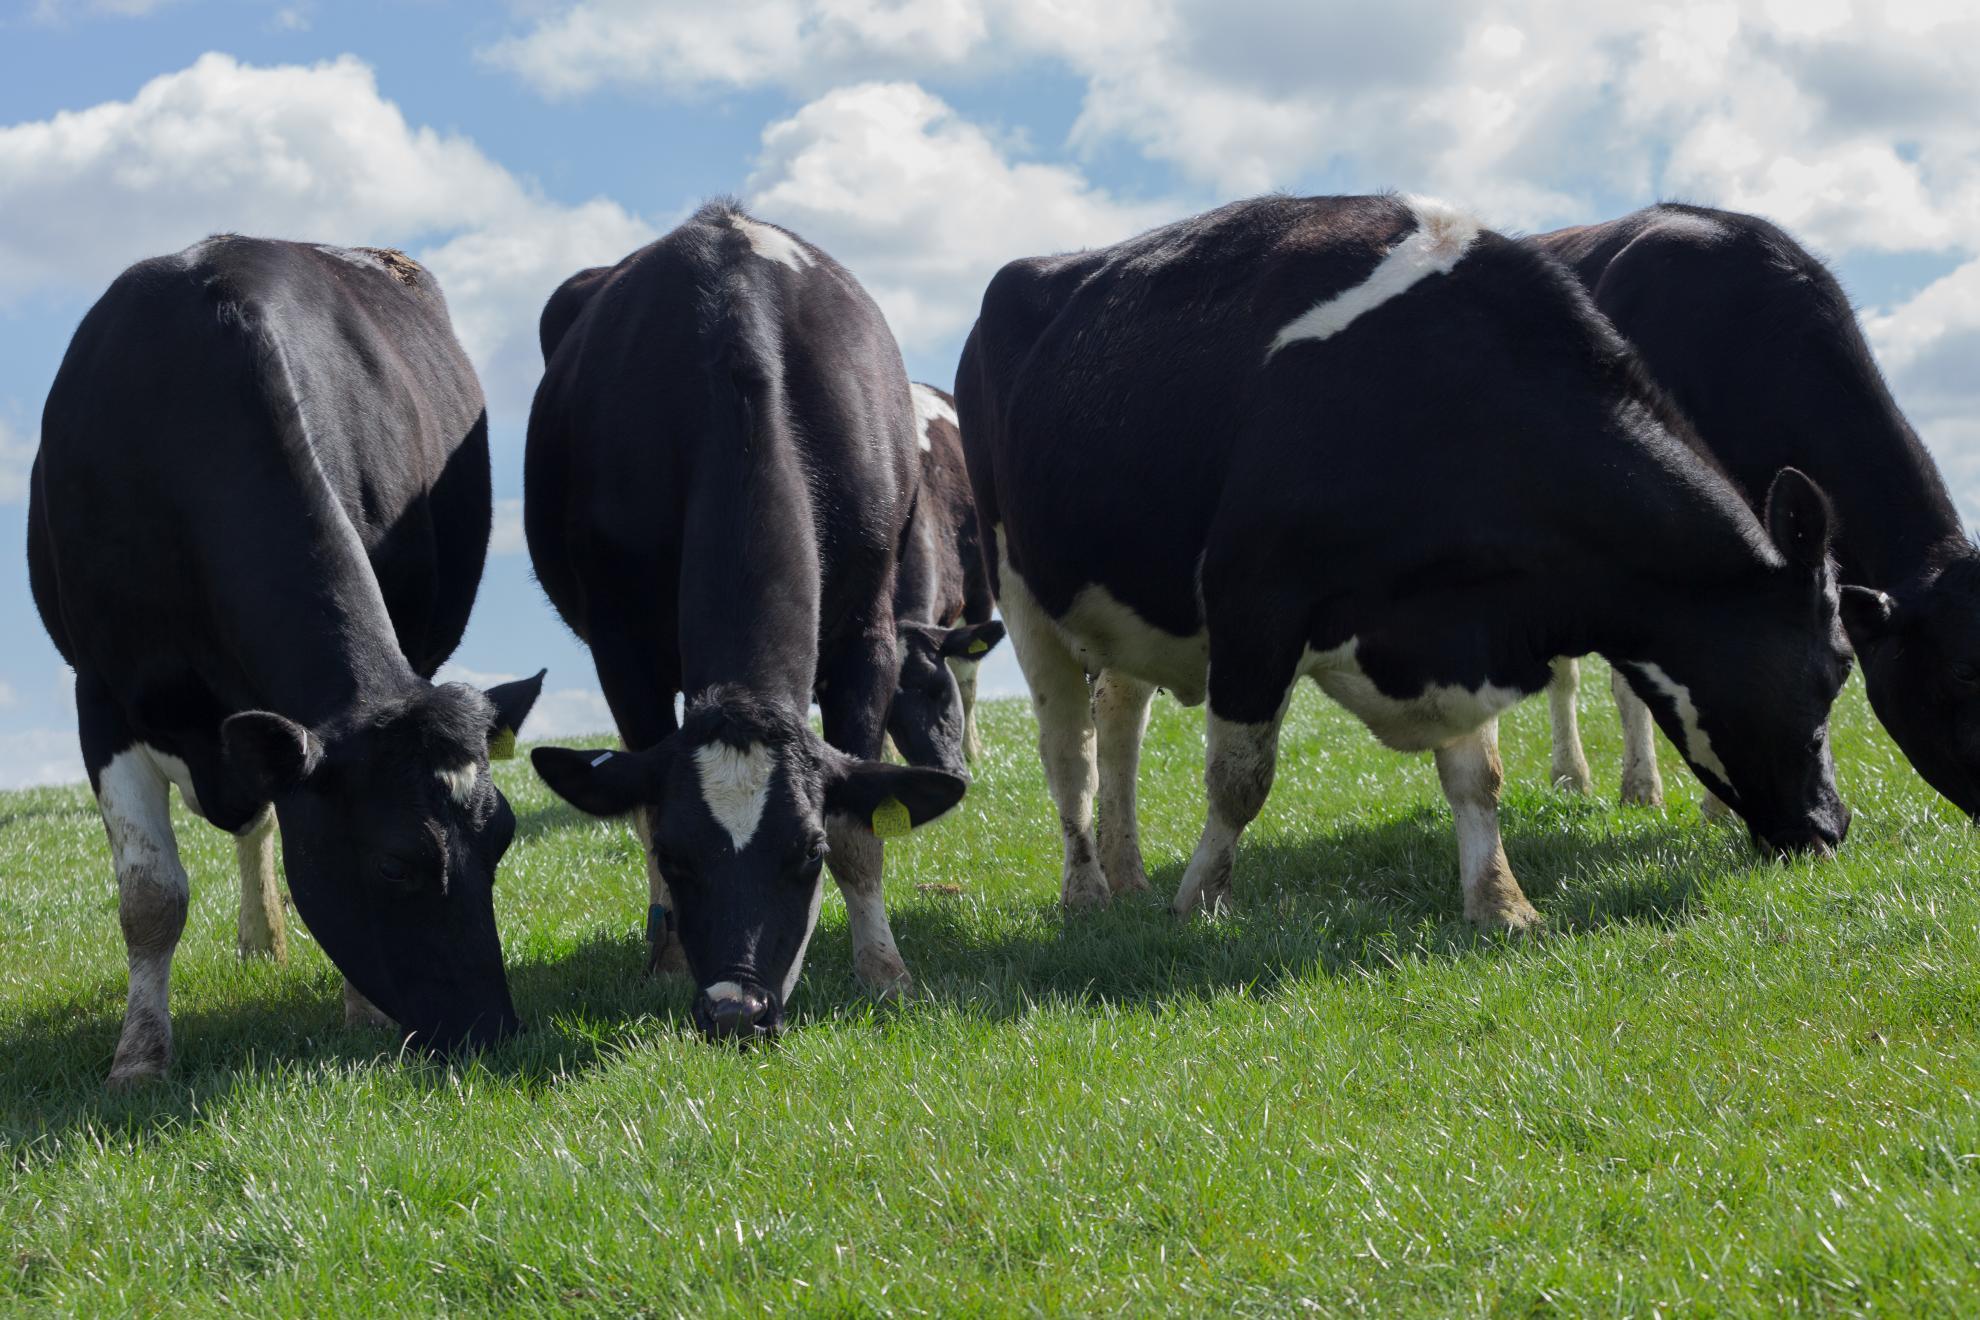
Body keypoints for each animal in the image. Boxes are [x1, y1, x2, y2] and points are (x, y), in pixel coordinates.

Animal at [30, 237, 542, 1084]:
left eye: (501, 838)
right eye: (396, 864)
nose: (490, 1033)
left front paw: (364, 1014)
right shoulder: (100, 695)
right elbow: (150, 898)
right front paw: (140, 1057)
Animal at [522, 198, 962, 1044]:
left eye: (805, 855)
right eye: (682, 856)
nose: (736, 1009)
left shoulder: (869, 634)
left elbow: (863, 827)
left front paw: (884, 972)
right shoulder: (621, 647)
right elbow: (643, 802)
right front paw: (666, 963)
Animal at [958, 193, 1853, 930]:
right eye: (1836, 667)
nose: (1831, 826)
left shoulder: (1468, 614)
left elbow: (1478, 775)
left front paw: (1500, 902)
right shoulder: (1255, 599)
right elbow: (1240, 778)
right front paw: (1201, 900)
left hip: (1132, 604)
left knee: (1118, 719)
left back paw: (1129, 872)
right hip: (1023, 591)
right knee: (1068, 753)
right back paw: (1087, 890)